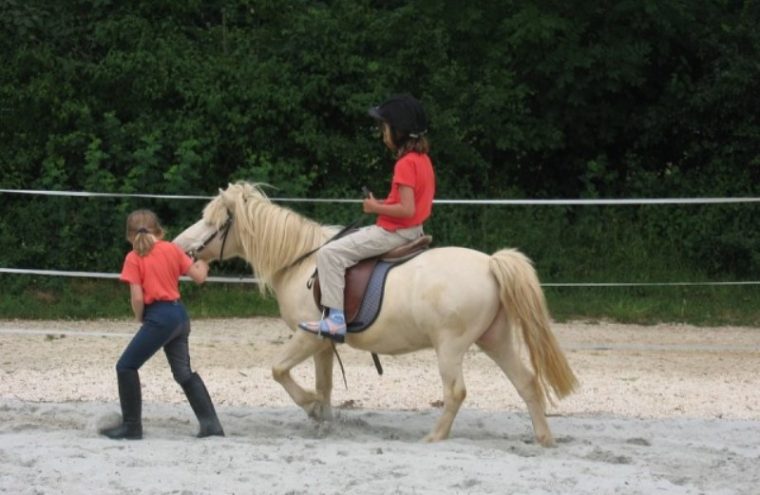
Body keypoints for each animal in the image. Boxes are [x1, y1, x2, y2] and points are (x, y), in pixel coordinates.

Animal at [172, 182, 576, 446]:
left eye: (212, 222)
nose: (179, 245)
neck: (301, 260)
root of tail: (491, 264)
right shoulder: (322, 345)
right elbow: (325, 385)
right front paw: (324, 422)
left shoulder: (307, 336)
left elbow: (279, 371)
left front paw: (312, 409)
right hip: (495, 339)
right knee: (526, 382)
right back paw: (544, 440)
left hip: (451, 346)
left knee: (456, 391)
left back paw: (434, 437)